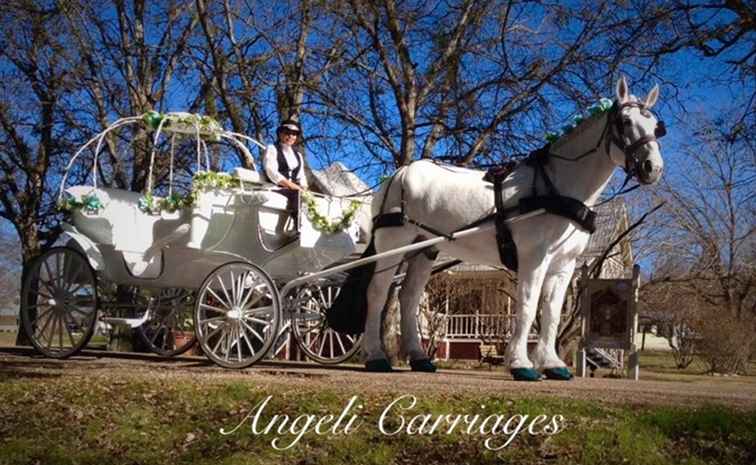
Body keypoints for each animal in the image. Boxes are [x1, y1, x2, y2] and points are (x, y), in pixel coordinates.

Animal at [364, 76, 664, 378]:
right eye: (625, 121)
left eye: (656, 127)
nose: (653, 168)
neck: (556, 188)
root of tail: (398, 174)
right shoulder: (534, 257)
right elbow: (528, 307)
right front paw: (521, 363)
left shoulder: (564, 264)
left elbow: (552, 313)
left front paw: (552, 364)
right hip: (393, 244)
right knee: (377, 293)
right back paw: (376, 357)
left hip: (425, 249)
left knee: (409, 298)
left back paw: (419, 358)